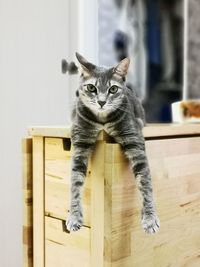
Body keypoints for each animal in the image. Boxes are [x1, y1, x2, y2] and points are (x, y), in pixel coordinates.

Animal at [66, 53, 160, 236]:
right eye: (91, 88)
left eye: (113, 89)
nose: (101, 102)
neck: (102, 121)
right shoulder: (80, 141)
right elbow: (75, 181)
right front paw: (74, 216)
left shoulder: (134, 139)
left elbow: (145, 181)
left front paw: (150, 218)